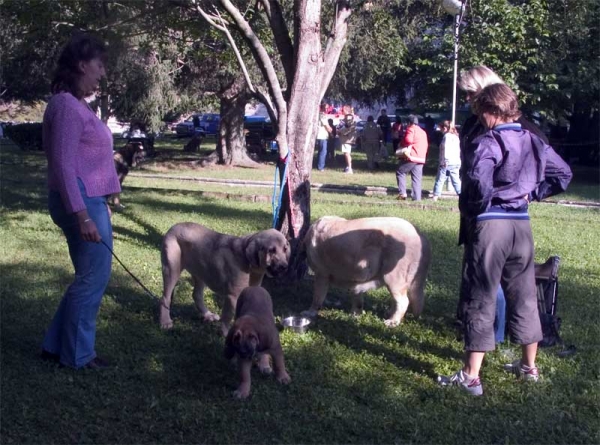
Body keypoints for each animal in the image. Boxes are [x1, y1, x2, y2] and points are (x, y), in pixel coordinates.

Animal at [159, 224, 290, 334]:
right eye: (271, 251)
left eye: (285, 249)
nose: (284, 267)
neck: (249, 263)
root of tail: (173, 227)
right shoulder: (232, 297)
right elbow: (228, 316)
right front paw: (226, 334)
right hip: (172, 269)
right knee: (165, 298)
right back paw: (165, 321)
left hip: (201, 273)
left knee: (196, 295)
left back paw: (208, 315)